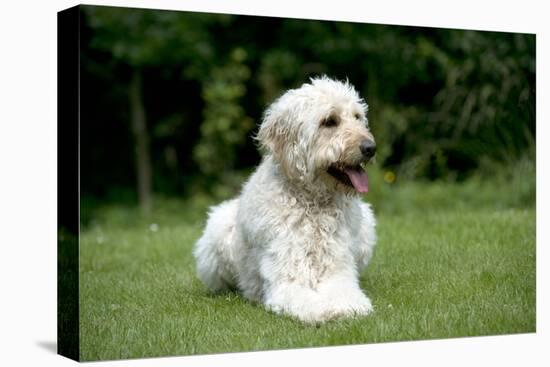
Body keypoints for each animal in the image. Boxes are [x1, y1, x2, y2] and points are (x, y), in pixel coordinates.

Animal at [194, 76, 380, 324]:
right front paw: (325, 310)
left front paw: (348, 307)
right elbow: (304, 299)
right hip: (218, 230)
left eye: (357, 117)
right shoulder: (288, 279)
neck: (312, 203)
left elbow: (346, 292)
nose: (371, 148)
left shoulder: (337, 271)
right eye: (329, 121)